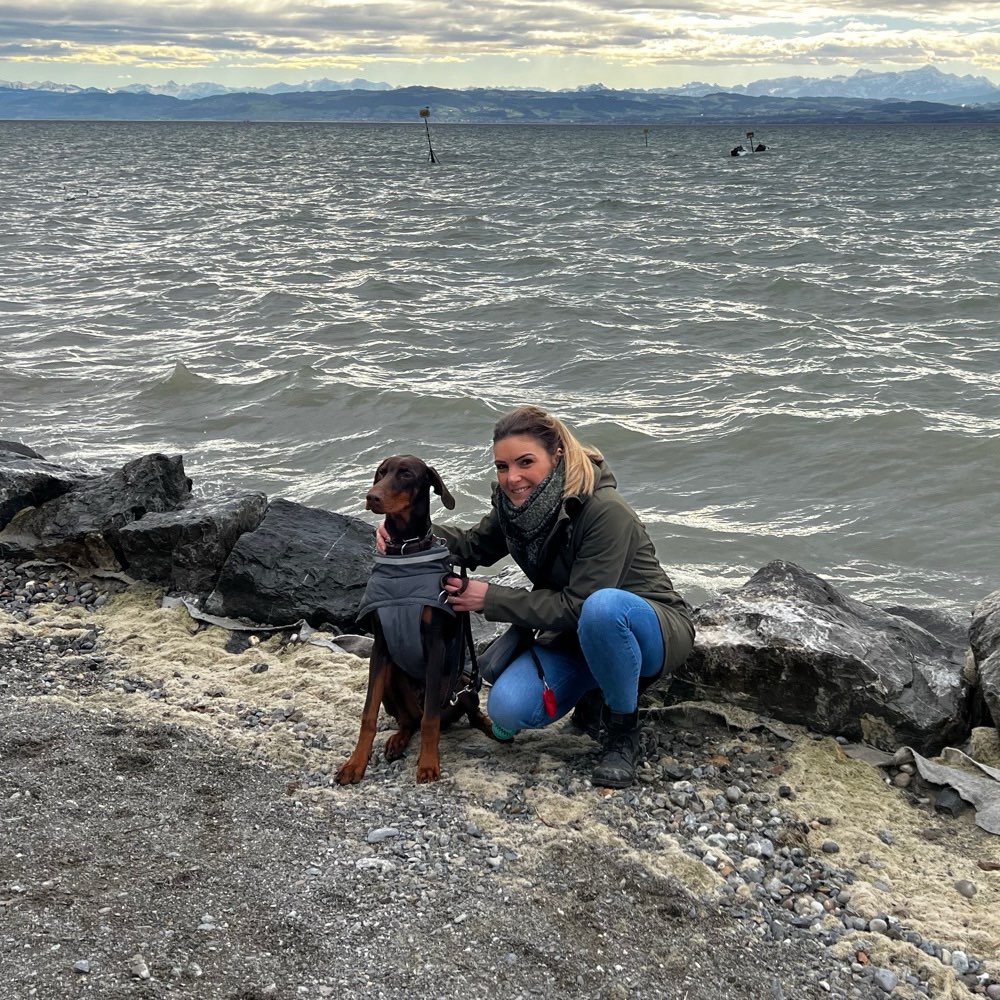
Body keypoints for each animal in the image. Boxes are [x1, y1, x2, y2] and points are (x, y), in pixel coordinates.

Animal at [336, 458, 492, 784]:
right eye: (381, 473)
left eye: (406, 474)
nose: (372, 497)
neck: (405, 550)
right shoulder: (380, 647)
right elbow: (368, 714)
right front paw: (355, 763)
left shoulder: (435, 645)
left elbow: (431, 718)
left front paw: (428, 764)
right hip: (393, 679)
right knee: (409, 721)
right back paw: (397, 741)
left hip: (461, 680)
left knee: (459, 714)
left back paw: (493, 730)